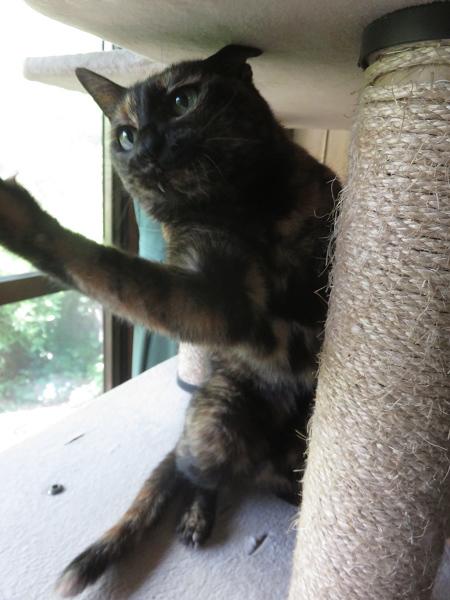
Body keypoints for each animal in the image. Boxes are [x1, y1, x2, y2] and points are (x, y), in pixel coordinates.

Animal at [0, 45, 340, 596]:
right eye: (124, 134)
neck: (240, 209)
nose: (145, 149)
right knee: (200, 478)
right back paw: (198, 518)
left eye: (184, 100)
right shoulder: (216, 301)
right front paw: (20, 218)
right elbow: (110, 270)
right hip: (215, 427)